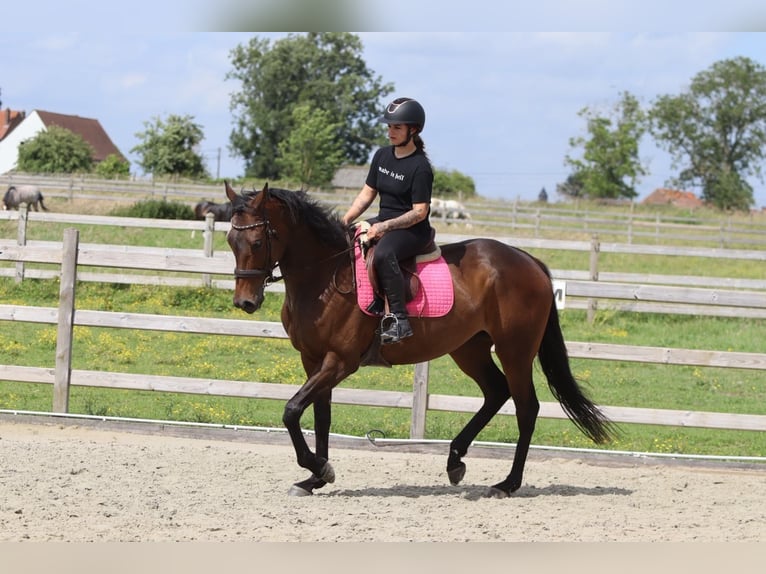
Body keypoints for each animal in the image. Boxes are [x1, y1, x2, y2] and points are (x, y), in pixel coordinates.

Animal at [224, 181, 616, 498]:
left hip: (515, 350)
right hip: (469, 349)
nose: (246, 302)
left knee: (526, 407)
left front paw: (319, 468)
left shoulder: (339, 361)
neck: (325, 277)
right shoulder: (314, 360)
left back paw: (507, 483)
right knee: (496, 392)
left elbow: (292, 410)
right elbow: (321, 416)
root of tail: (529, 261)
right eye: (230, 240)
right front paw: (314, 478)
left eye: (257, 241)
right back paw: (455, 461)